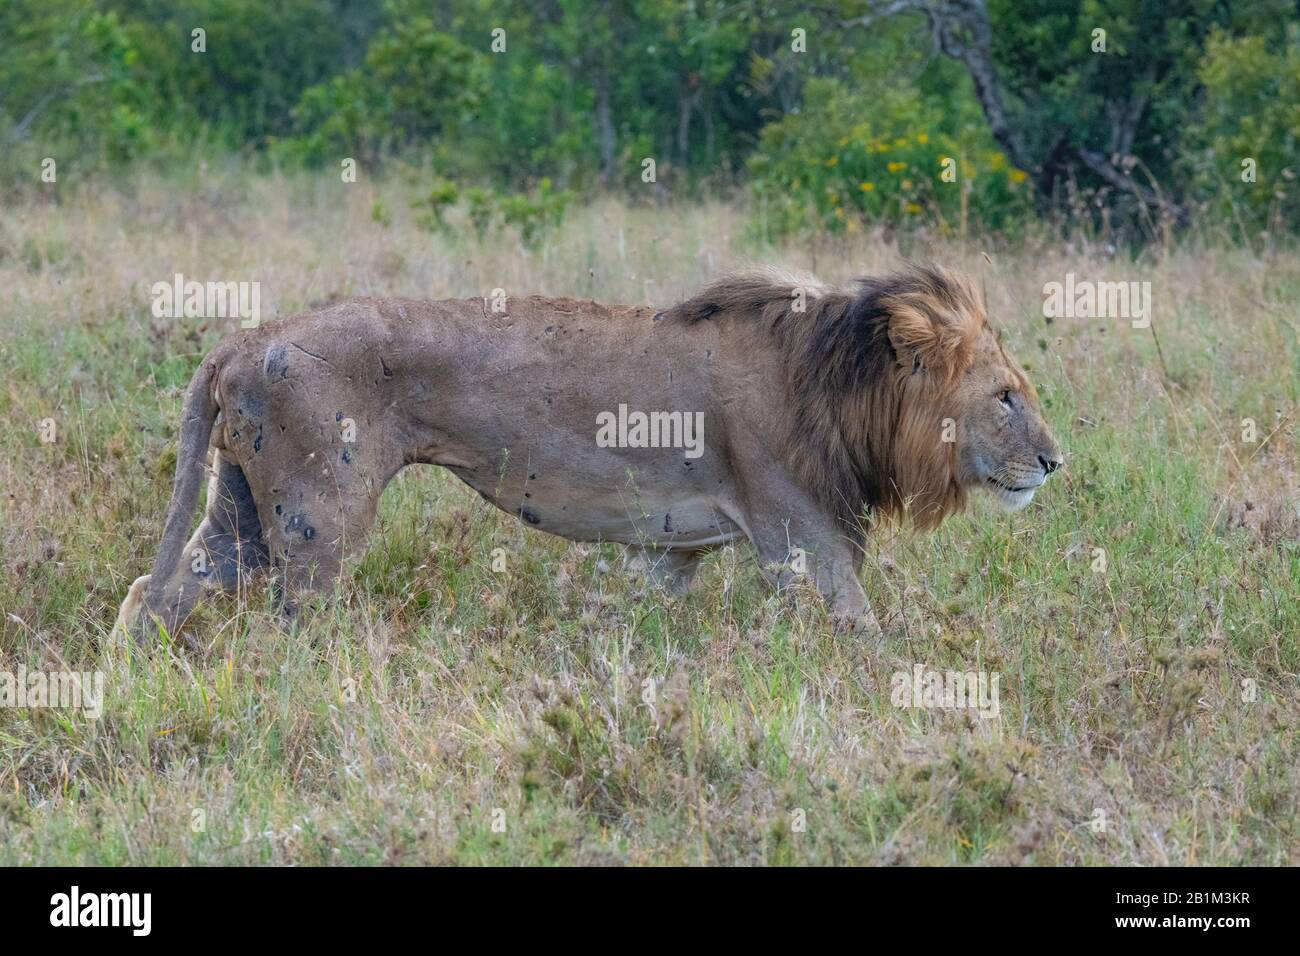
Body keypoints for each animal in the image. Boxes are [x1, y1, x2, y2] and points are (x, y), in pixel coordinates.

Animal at [115, 263, 1062, 643]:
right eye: (1005, 397)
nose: (1057, 463)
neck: (839, 381)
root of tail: (244, 337)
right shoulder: (803, 541)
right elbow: (863, 635)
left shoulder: (676, 547)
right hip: (321, 513)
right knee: (295, 620)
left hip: (243, 507)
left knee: (157, 590)